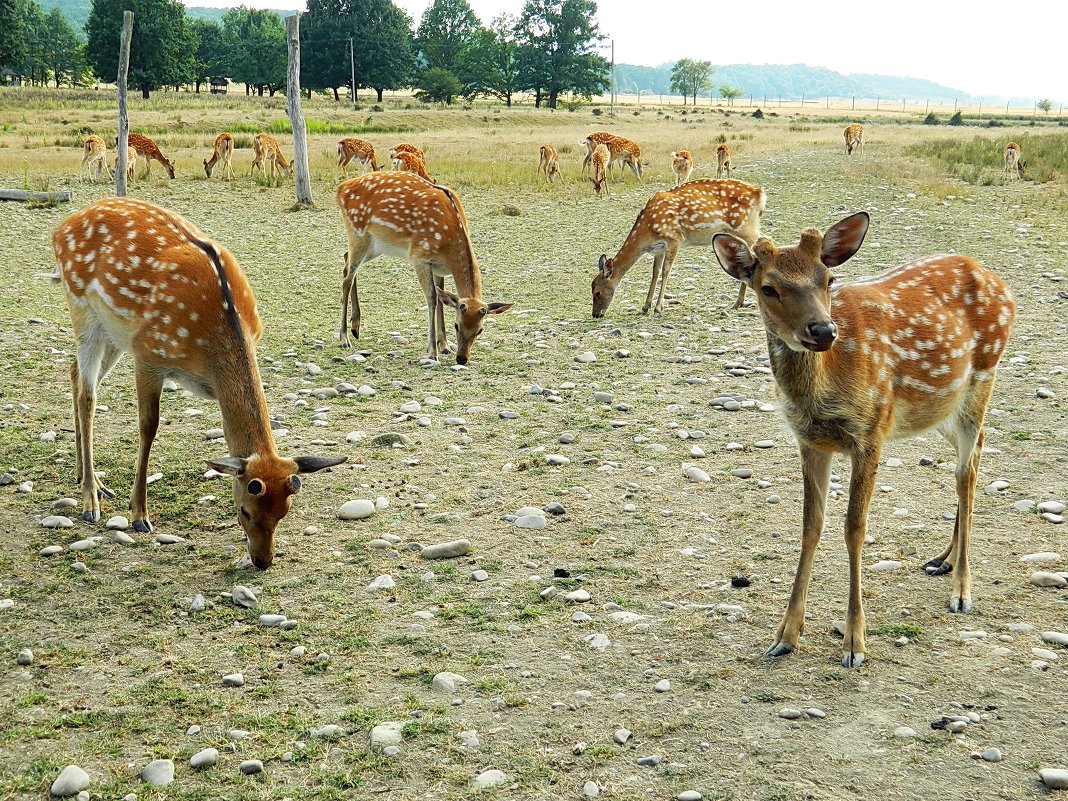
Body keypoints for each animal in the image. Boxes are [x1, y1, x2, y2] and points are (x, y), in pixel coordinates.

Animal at [54, 197, 346, 568]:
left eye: (285, 512)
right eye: (244, 510)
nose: (263, 561)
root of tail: (62, 225)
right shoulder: (148, 353)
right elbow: (148, 427)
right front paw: (139, 515)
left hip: (113, 332)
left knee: (74, 373)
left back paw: (84, 476)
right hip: (82, 310)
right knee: (88, 396)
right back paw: (91, 498)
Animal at [335, 174, 514, 369]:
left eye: (480, 330)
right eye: (456, 325)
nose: (462, 358)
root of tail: (340, 188)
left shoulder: (439, 268)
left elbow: (442, 299)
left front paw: (444, 345)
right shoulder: (419, 257)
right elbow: (432, 299)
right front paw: (432, 352)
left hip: (376, 245)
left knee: (346, 260)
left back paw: (356, 327)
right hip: (358, 233)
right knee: (347, 278)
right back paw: (344, 337)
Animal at [589, 180, 764, 318]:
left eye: (597, 292)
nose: (595, 314)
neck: (647, 230)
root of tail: (760, 194)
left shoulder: (674, 238)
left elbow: (666, 271)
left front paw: (658, 308)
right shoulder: (659, 248)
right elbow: (655, 273)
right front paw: (645, 307)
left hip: (746, 227)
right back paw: (738, 303)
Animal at [713, 213, 1012, 670]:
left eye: (828, 279)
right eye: (768, 287)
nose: (823, 330)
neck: (825, 387)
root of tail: (998, 281)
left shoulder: (872, 430)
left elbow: (855, 528)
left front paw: (855, 643)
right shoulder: (810, 440)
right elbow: (810, 525)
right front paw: (785, 635)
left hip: (983, 375)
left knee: (967, 472)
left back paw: (962, 590)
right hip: (940, 406)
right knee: (976, 451)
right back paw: (942, 559)